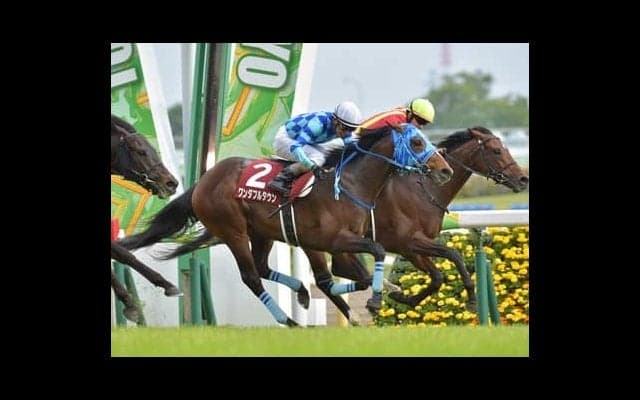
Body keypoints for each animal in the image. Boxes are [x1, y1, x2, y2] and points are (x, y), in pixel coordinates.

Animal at [110, 114, 181, 322]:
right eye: (141, 151)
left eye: (153, 150)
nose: (171, 183)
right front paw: (130, 303)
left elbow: (124, 254)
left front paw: (166, 284)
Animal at [149, 126, 528, 323]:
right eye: (496, 150)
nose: (522, 178)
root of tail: (204, 180)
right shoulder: (404, 241)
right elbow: (448, 258)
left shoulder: (409, 245)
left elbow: (438, 272)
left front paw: (404, 296)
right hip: (235, 231)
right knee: (254, 276)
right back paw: (292, 318)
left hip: (270, 234)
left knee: (307, 276)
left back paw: (315, 301)